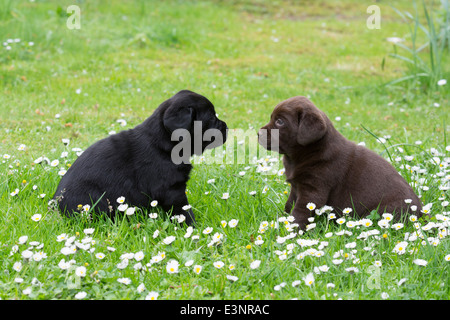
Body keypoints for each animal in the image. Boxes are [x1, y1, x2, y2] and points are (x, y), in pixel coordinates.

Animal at [52, 89, 227, 225]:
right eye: (211, 118)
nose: (226, 127)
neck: (163, 142)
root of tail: (55, 208)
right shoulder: (172, 190)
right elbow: (183, 212)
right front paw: (193, 226)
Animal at [258, 96, 424, 229]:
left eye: (280, 121)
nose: (258, 133)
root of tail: (421, 213)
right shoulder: (296, 186)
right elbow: (289, 205)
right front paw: (283, 219)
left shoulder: (313, 190)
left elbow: (300, 211)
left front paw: (293, 229)